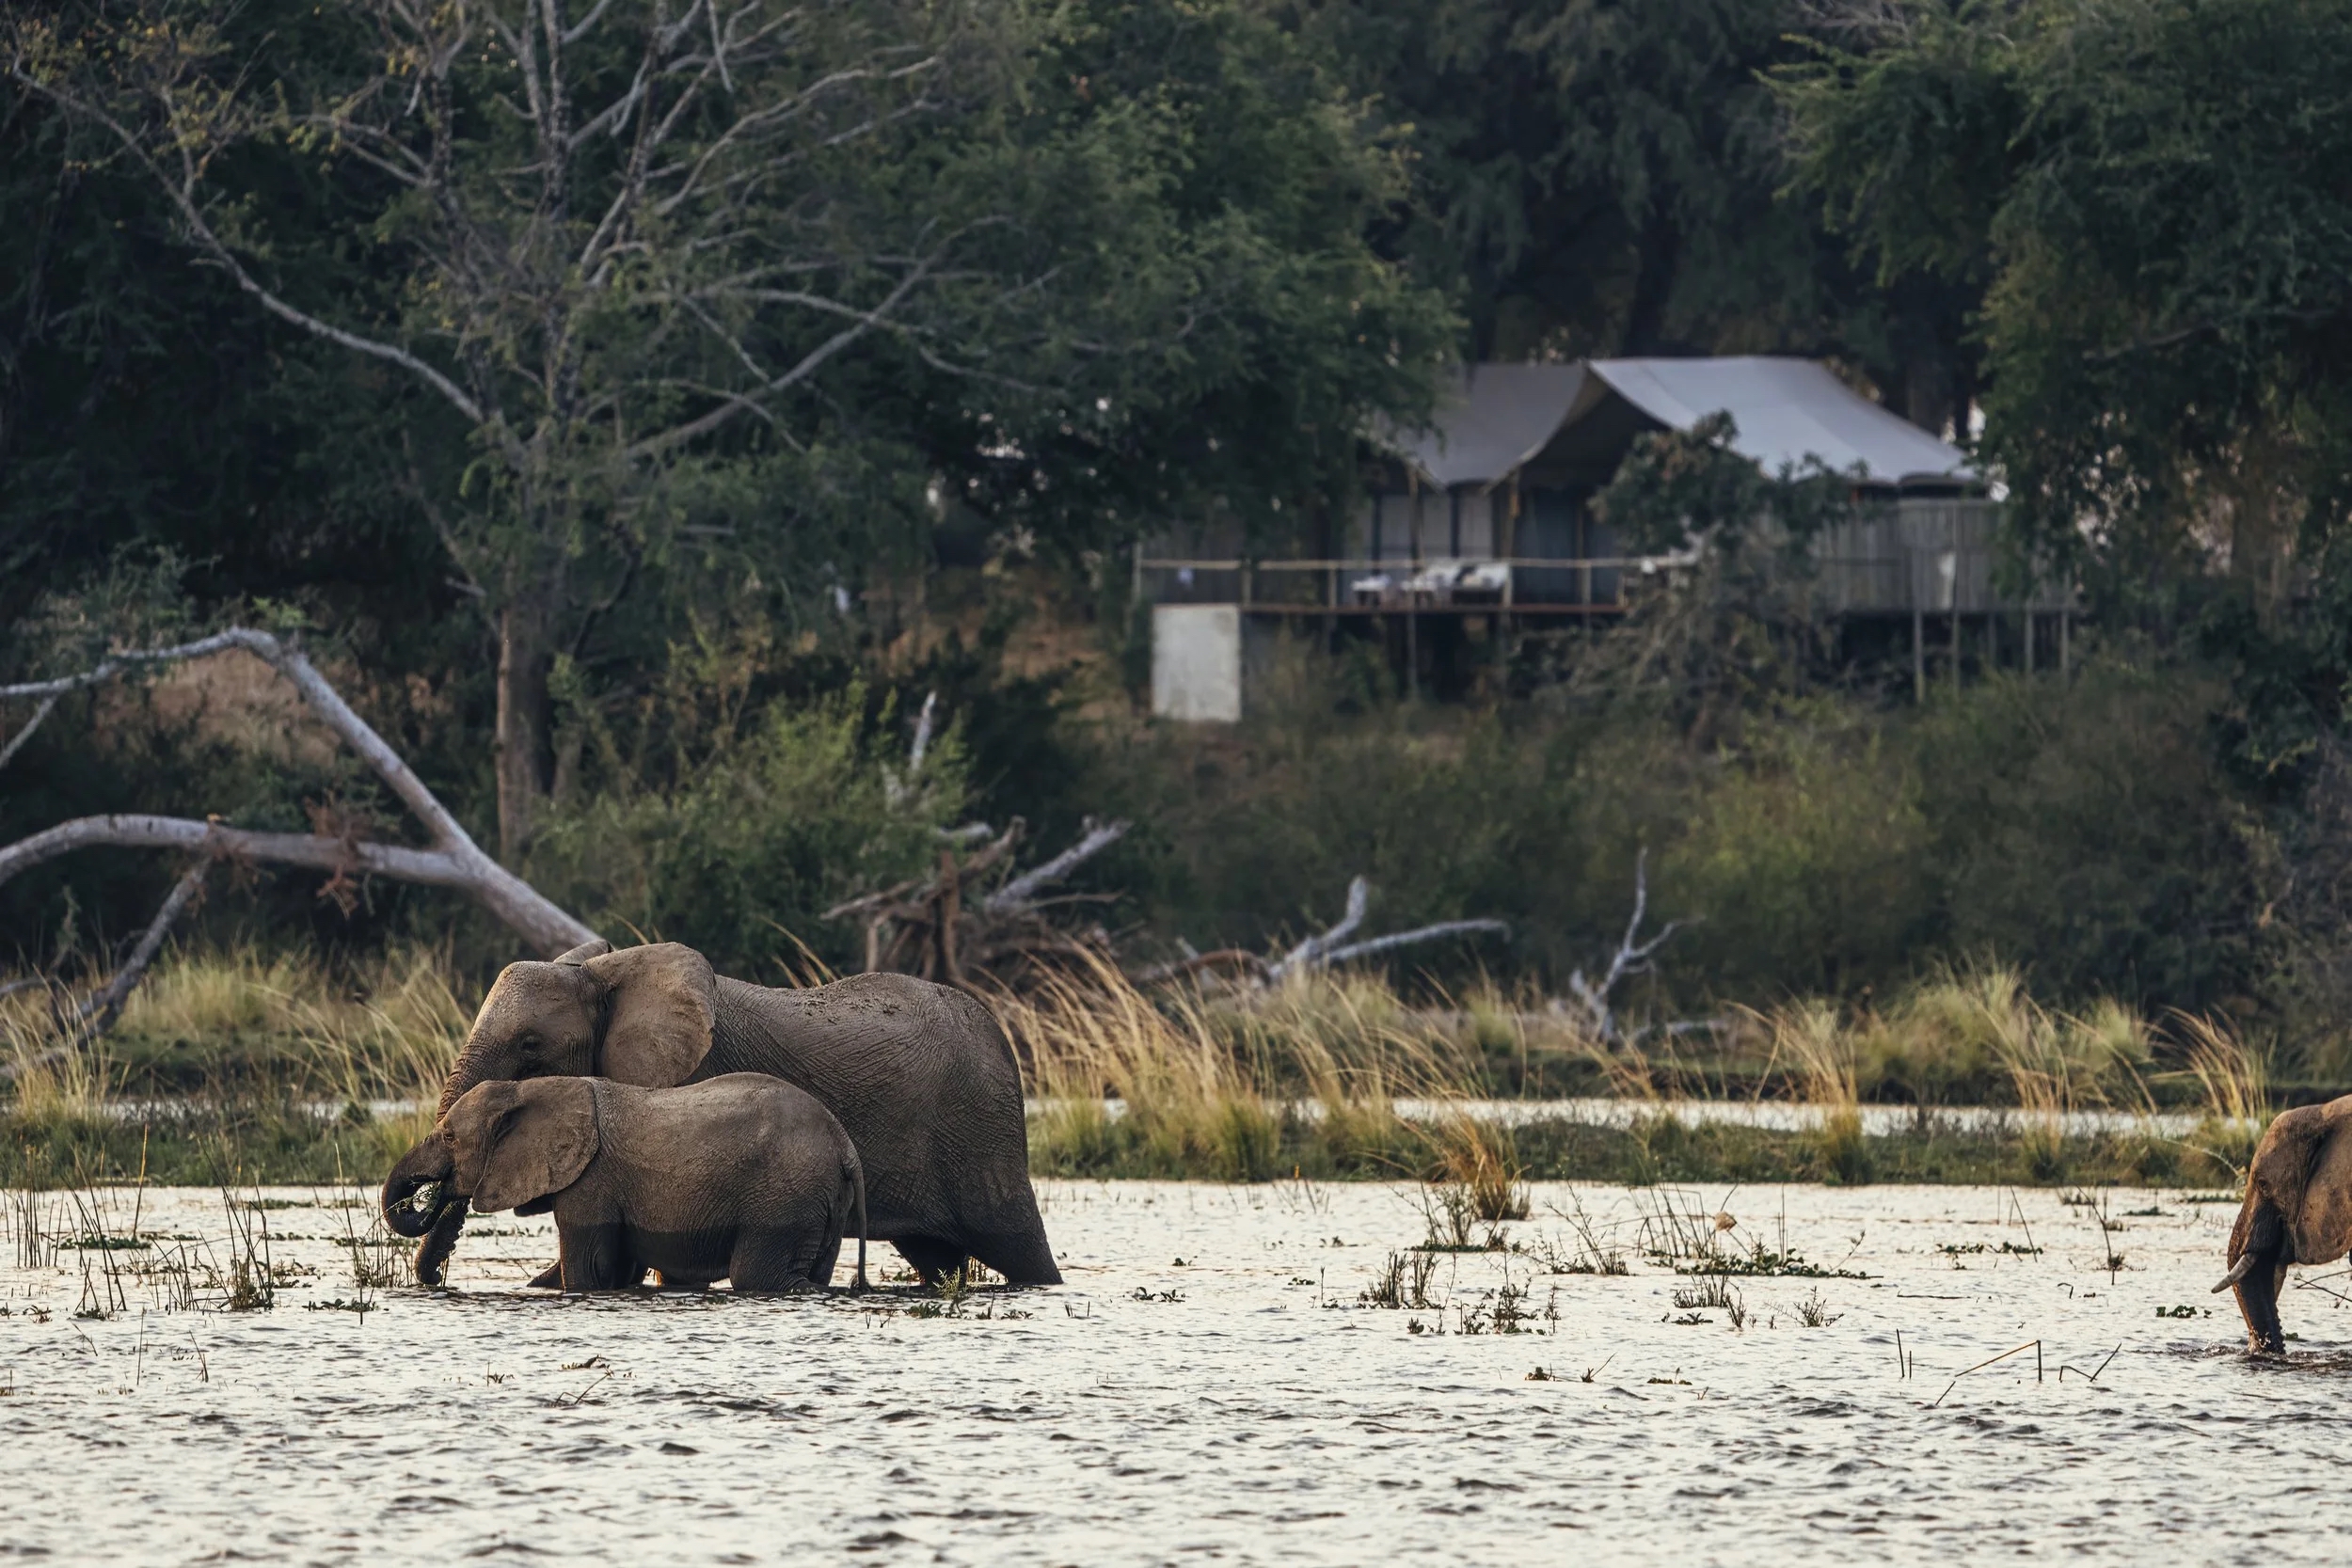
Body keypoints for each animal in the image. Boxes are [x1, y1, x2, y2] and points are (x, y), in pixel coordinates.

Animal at [385, 1073, 868, 1292]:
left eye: (450, 1136)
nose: (422, 1200)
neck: (527, 1089)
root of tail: (844, 1143)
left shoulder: (591, 1184)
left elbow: (588, 1270)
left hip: (785, 1195)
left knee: (756, 1276)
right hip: (822, 1197)